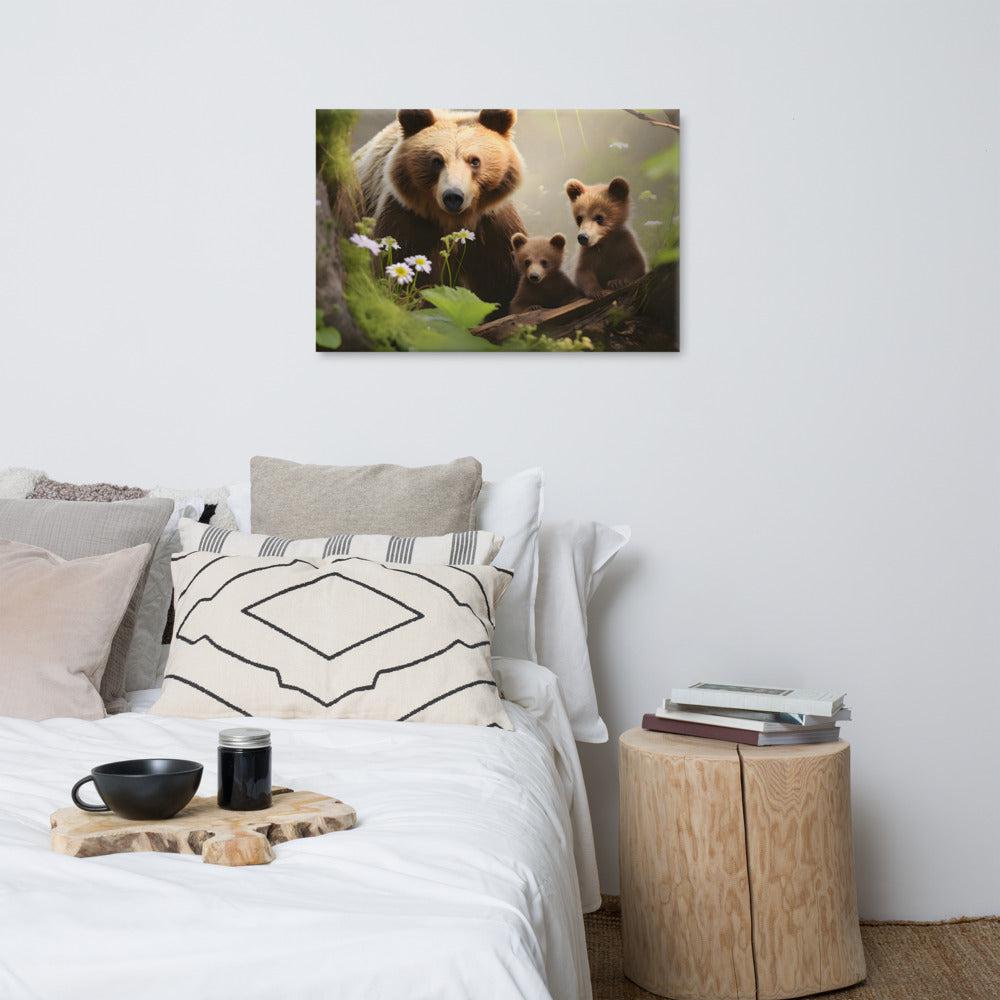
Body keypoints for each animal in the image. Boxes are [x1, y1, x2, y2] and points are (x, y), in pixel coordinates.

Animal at [353, 109, 527, 314]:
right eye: (437, 160)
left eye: (475, 161)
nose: (453, 196)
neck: (454, 221)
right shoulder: (407, 221)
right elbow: (399, 271)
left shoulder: (492, 227)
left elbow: (502, 281)